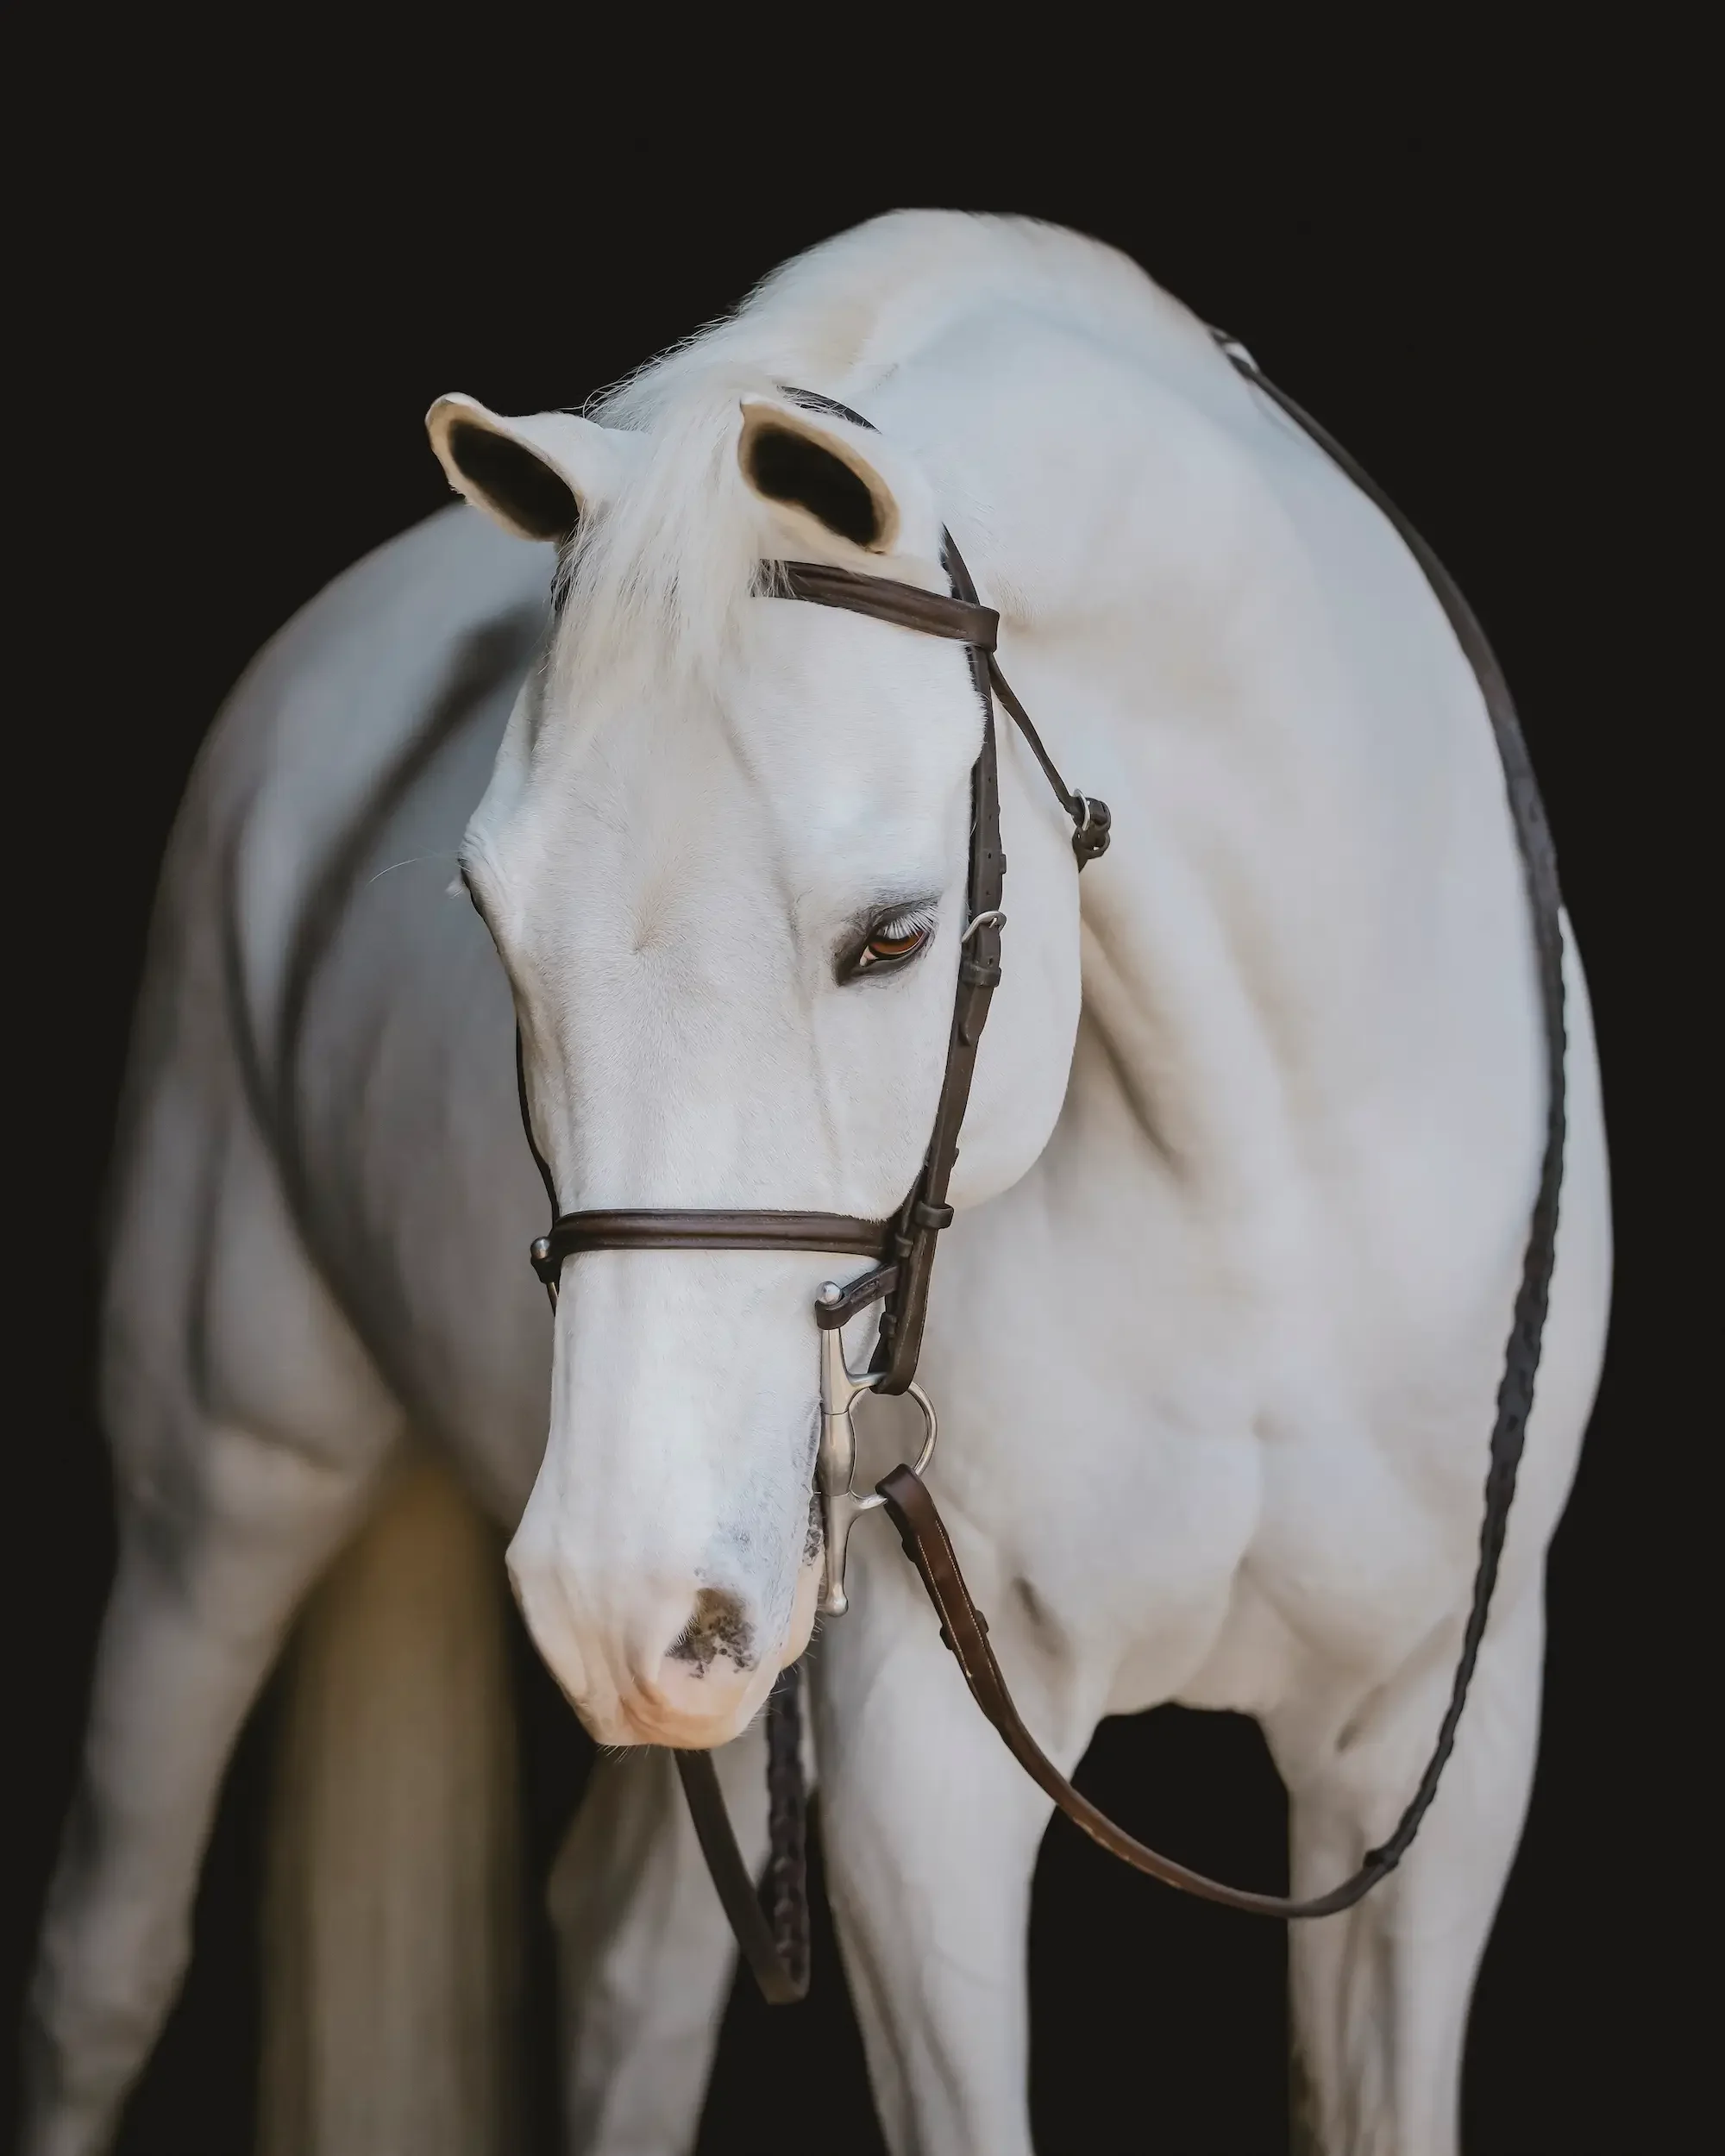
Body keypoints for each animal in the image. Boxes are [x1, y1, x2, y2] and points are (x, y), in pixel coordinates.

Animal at [24, 210, 1610, 2156]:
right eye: (488, 918)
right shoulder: (917, 1766)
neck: (1268, 1215)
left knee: (624, 1960)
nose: (604, 1586)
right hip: (224, 1503)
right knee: (103, 1966)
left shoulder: (1429, 1758)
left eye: (896, 935)